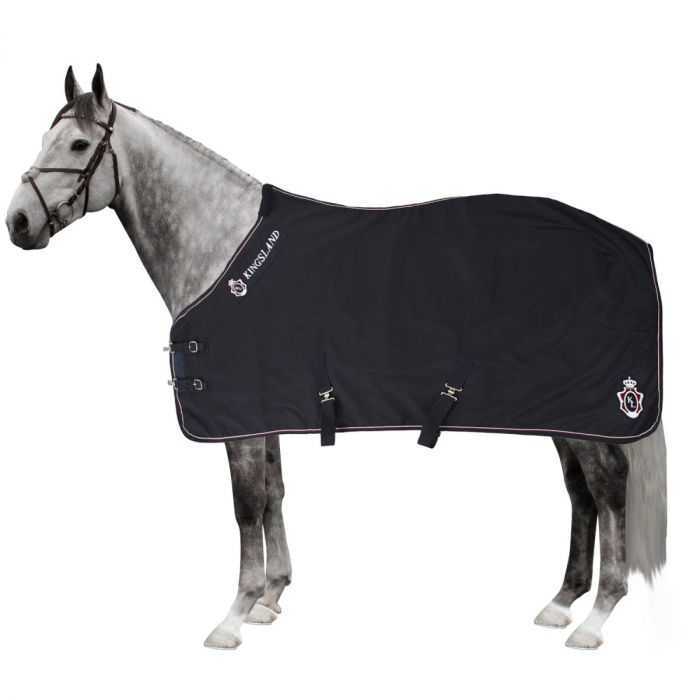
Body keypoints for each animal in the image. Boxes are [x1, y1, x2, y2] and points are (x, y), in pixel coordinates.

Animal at [5, 65, 666, 651]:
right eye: (44, 139)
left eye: (79, 143)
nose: (18, 222)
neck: (223, 246)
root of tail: (630, 246)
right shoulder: (265, 408)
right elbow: (274, 493)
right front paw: (271, 597)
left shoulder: (239, 420)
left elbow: (246, 508)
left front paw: (233, 617)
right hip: (561, 411)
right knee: (580, 492)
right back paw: (562, 601)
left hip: (592, 409)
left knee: (608, 487)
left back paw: (596, 617)